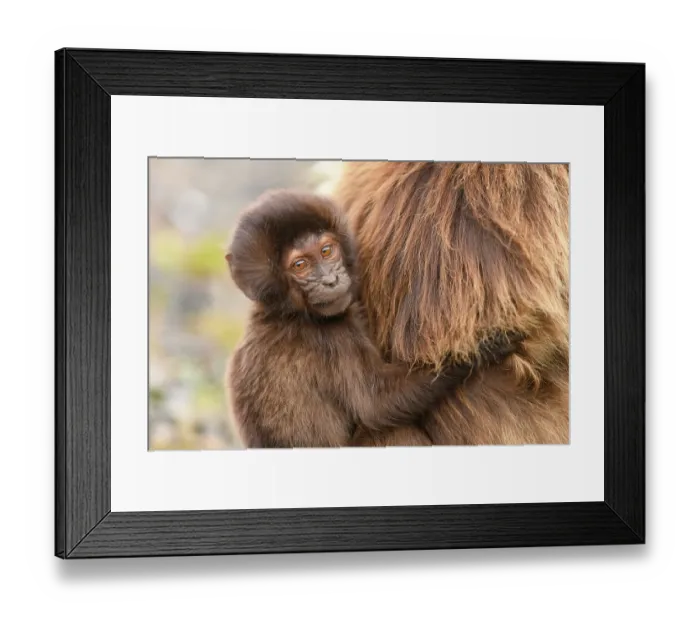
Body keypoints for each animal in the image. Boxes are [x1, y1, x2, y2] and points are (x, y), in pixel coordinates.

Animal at [224, 189, 523, 449]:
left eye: (326, 251)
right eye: (300, 265)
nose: (330, 280)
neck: (288, 314)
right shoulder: (333, 337)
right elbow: (377, 404)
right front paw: (484, 348)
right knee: (390, 431)